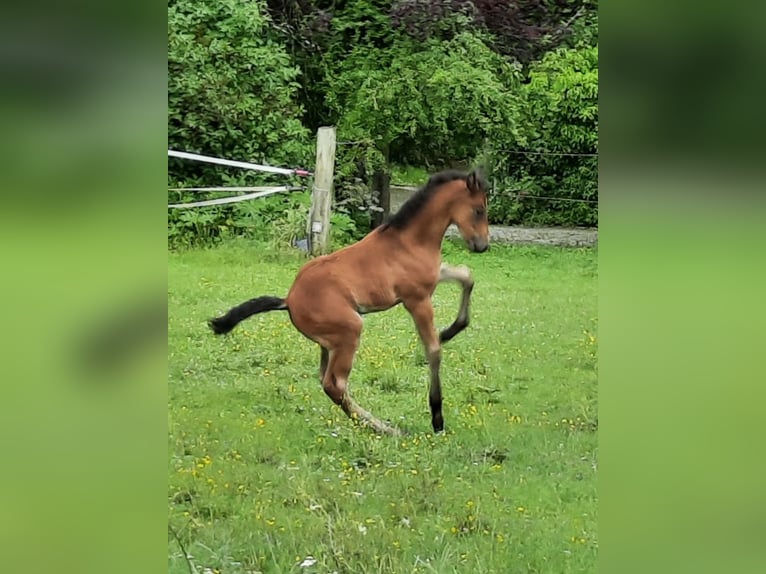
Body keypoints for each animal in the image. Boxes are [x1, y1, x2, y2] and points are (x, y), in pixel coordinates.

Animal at [209, 169, 490, 436]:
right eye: (479, 209)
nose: (483, 246)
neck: (408, 241)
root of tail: (288, 300)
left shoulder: (432, 279)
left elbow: (466, 276)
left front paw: (452, 330)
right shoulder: (417, 299)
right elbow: (433, 350)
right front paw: (437, 417)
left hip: (328, 343)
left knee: (326, 381)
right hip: (350, 330)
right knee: (336, 384)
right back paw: (388, 429)